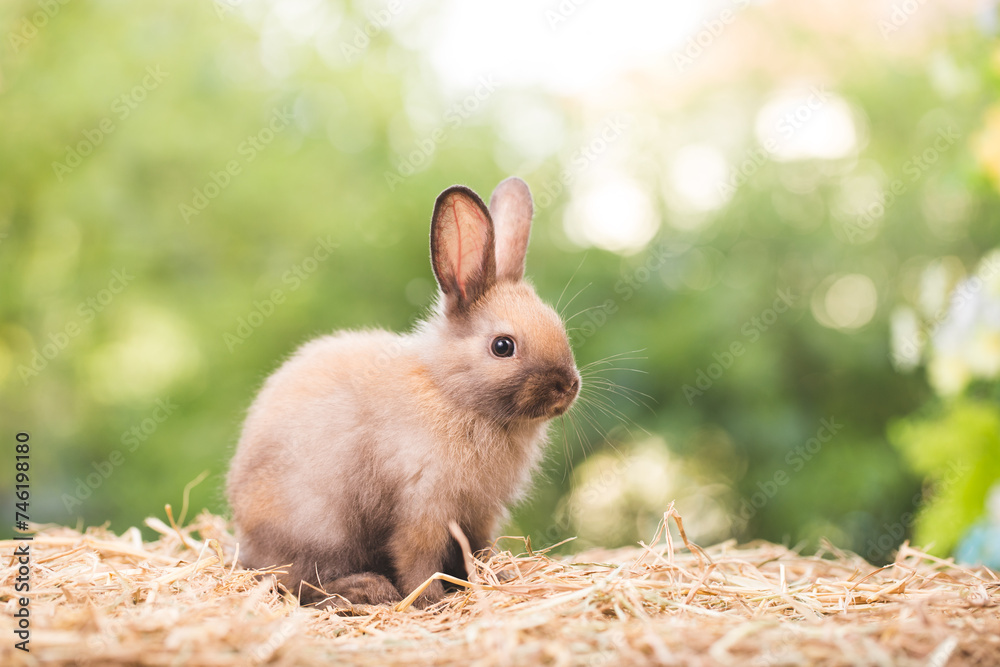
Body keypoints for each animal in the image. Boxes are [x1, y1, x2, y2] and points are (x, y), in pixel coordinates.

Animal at [226, 177, 581, 609]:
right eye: (502, 346)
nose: (568, 387)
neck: (451, 393)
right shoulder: (421, 506)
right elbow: (419, 560)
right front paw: (432, 601)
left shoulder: (479, 515)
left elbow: (476, 552)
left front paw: (492, 578)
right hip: (320, 534)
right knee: (299, 584)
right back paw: (365, 589)